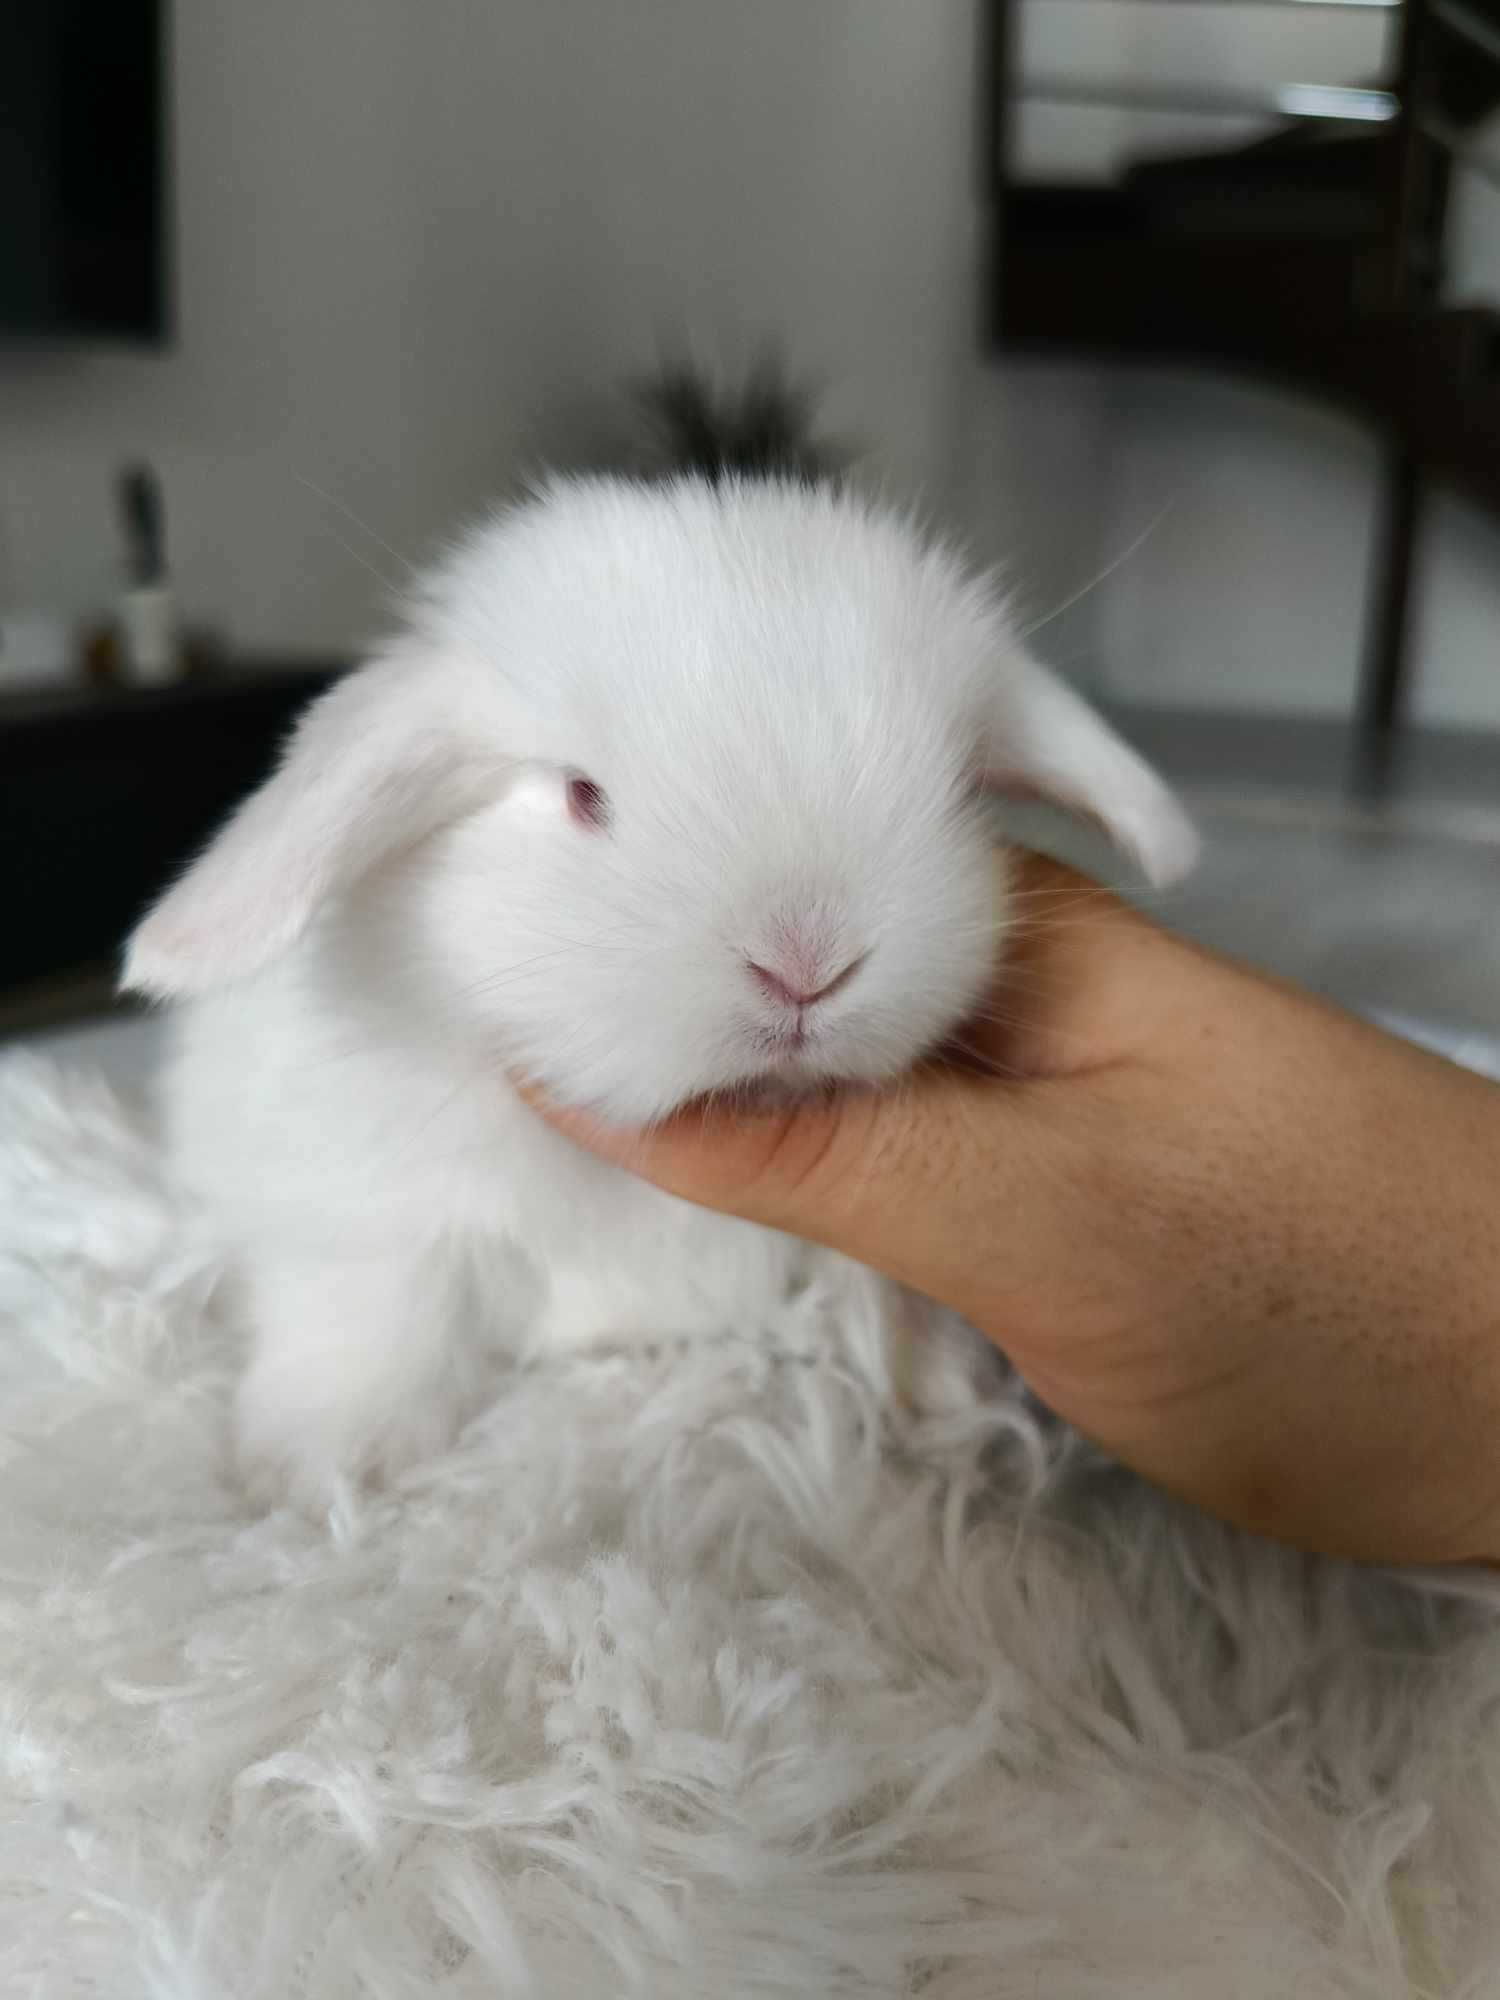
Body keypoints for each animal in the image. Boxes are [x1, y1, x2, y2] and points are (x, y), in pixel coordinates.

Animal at [123, 464, 1200, 1504]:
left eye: (957, 793)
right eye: (582, 796)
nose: (805, 964)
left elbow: (887, 1294)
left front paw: (945, 1402)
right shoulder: (364, 1203)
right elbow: (375, 1304)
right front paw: (328, 1469)